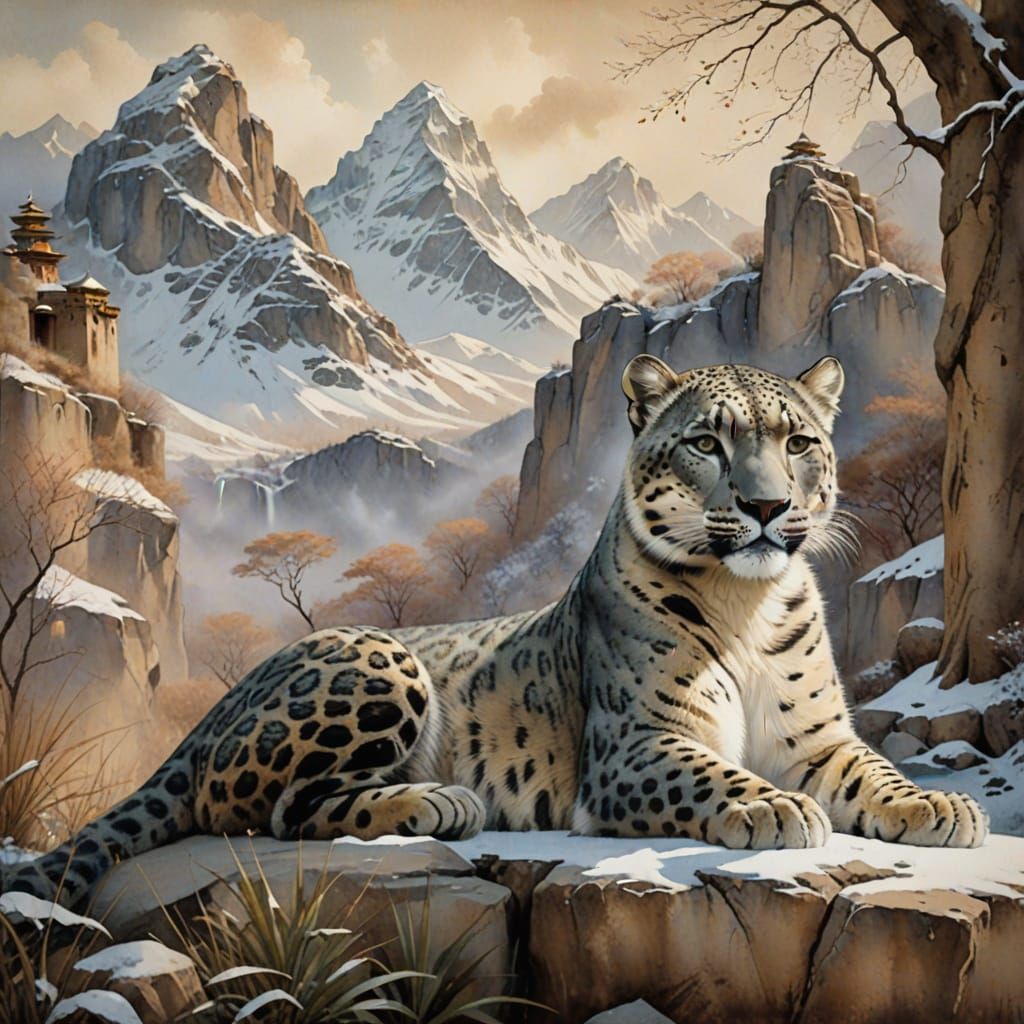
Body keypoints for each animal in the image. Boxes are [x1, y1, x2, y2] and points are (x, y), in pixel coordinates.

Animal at [5, 354, 988, 909]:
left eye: (799, 443)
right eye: (707, 443)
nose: (767, 507)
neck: (747, 603)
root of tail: (219, 704)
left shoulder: (816, 737)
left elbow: (872, 770)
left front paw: (940, 807)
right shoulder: (637, 744)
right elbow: (711, 772)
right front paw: (770, 807)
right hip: (378, 660)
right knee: (264, 810)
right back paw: (438, 802)